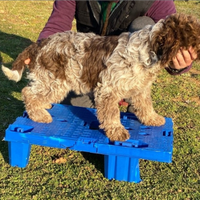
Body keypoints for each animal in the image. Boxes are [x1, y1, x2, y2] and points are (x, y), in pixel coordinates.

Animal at [1, 13, 200, 141]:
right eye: (196, 37)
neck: (147, 50)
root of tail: (41, 43)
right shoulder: (107, 91)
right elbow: (111, 114)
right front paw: (117, 131)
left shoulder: (140, 89)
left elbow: (145, 106)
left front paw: (152, 119)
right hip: (55, 82)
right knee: (28, 93)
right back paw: (39, 115)